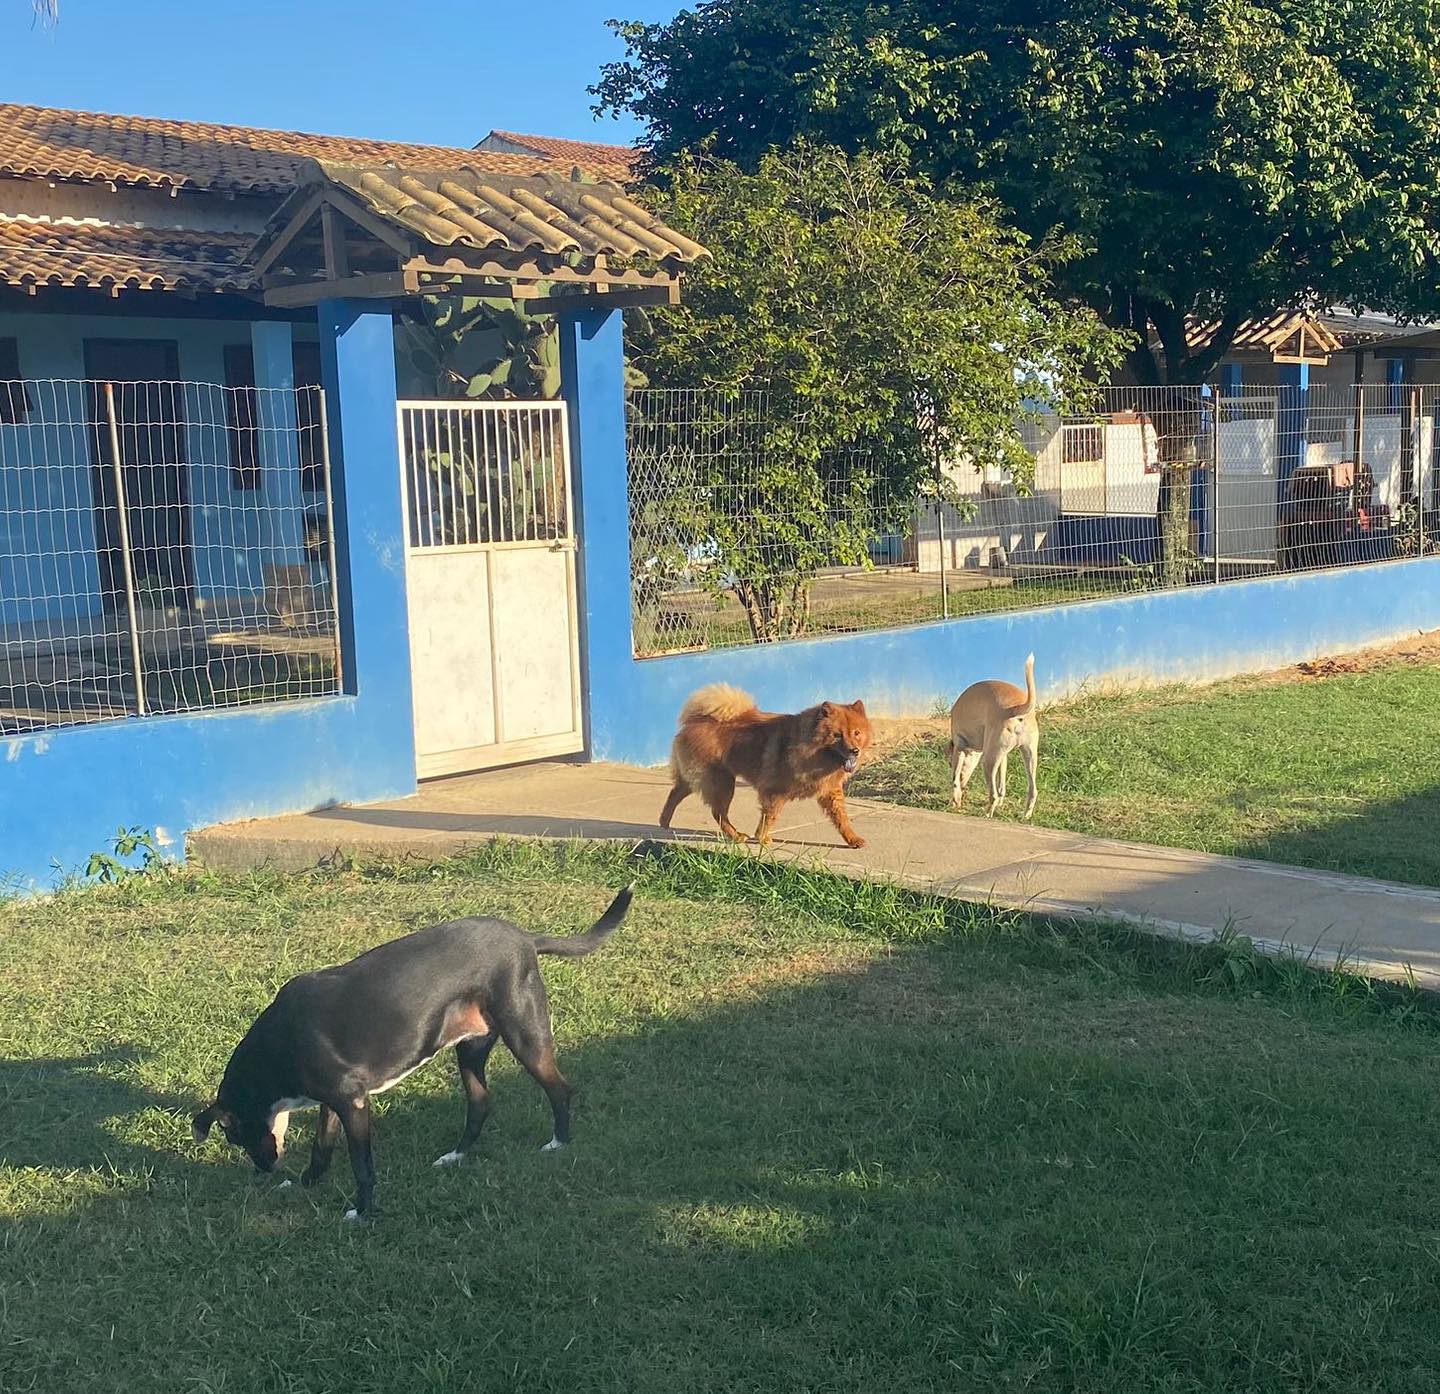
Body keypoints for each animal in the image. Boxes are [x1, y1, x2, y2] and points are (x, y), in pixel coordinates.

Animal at [190, 887, 630, 1215]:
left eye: (237, 1138)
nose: (263, 1171)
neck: (278, 1048)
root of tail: (524, 937)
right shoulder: (334, 1102)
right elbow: (321, 1148)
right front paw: (307, 1183)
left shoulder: (353, 1103)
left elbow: (362, 1166)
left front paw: (363, 1213)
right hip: (471, 1049)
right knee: (480, 1103)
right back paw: (455, 1156)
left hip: (526, 1036)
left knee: (560, 1089)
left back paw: (559, 1143)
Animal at [659, 685, 869, 846]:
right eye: (838, 735)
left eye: (856, 733)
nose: (855, 750)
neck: (809, 747)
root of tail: (694, 721)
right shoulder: (774, 791)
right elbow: (770, 816)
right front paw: (762, 838)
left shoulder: (830, 790)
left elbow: (841, 818)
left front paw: (853, 839)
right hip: (722, 782)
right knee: (718, 812)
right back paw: (736, 835)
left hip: (703, 779)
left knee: (676, 792)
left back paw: (664, 822)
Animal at [944, 653, 1036, 817]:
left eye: (949, 763)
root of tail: (1014, 709)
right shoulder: (1003, 757)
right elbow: (1002, 782)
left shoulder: (959, 747)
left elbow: (955, 779)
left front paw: (955, 801)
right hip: (1029, 756)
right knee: (1033, 791)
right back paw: (1025, 816)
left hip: (988, 762)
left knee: (992, 795)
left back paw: (987, 813)